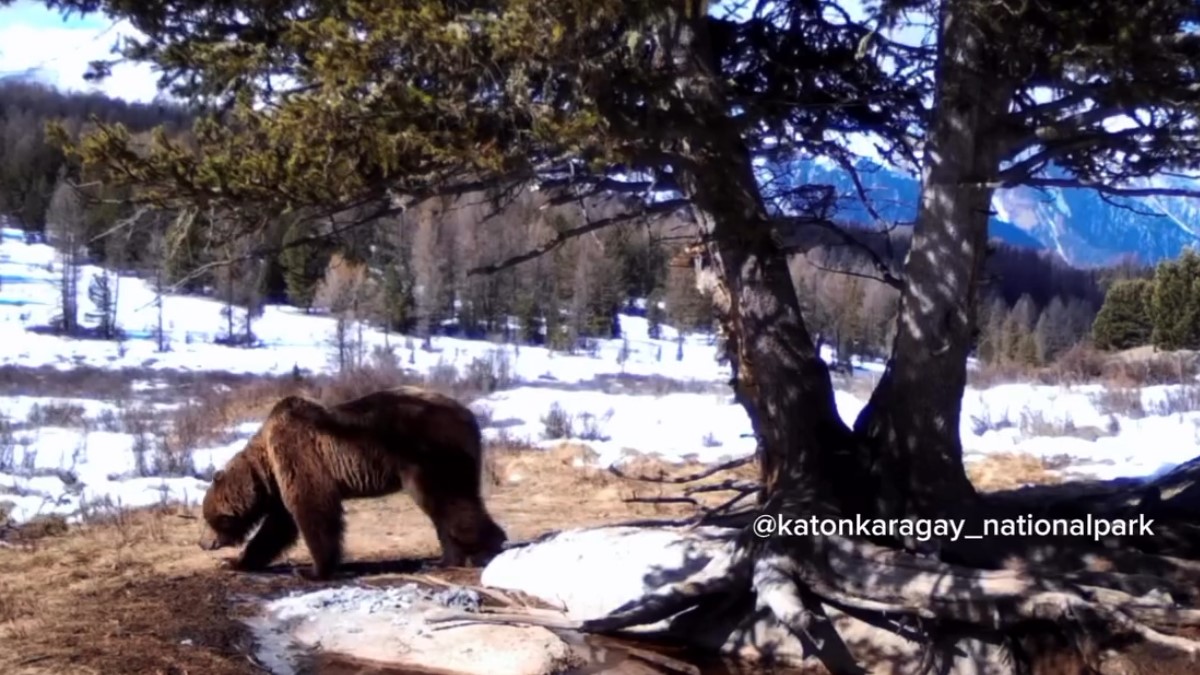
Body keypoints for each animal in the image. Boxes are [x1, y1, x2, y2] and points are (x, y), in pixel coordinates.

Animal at [198, 386, 508, 580]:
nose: (202, 543)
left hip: (429, 454)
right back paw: (444, 560)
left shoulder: (299, 456)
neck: (266, 468)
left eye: (206, 517)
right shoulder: (284, 478)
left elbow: (313, 512)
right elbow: (277, 527)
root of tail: (471, 418)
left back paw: (487, 547)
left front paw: (312, 571)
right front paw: (235, 561)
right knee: (448, 508)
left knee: (450, 501)